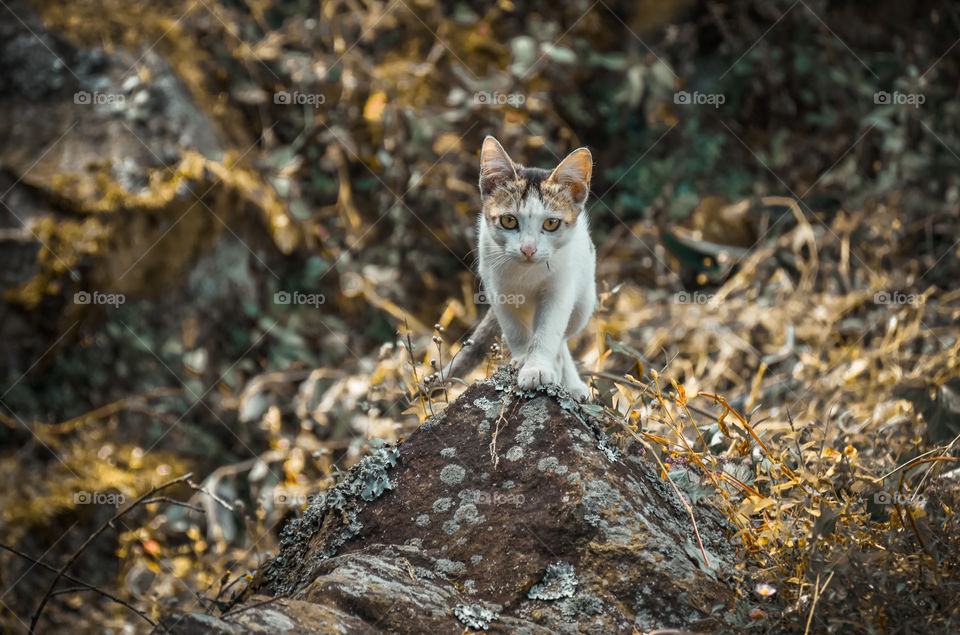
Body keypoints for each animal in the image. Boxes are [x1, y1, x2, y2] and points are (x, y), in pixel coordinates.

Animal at [442, 137, 592, 400]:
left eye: (551, 223)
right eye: (509, 220)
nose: (528, 249)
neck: (527, 273)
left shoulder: (560, 290)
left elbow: (549, 332)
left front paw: (537, 367)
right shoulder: (496, 289)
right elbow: (514, 329)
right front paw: (523, 359)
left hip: (584, 302)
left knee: (563, 339)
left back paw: (570, 381)